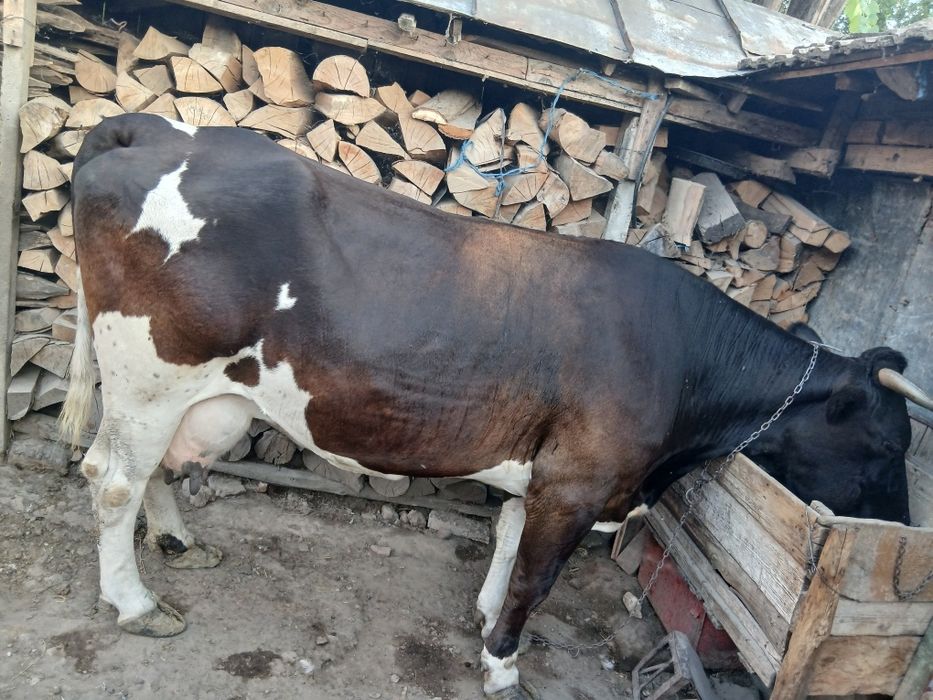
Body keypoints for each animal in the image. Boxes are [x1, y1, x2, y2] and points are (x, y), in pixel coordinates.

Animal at [61, 114, 932, 698]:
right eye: (891, 446)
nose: (900, 532)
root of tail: (155, 128)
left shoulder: (543, 471)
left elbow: (508, 540)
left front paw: (483, 622)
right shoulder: (578, 483)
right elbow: (534, 580)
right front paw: (504, 663)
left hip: (196, 395)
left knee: (153, 471)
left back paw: (179, 546)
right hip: (149, 370)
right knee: (112, 480)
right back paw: (135, 603)